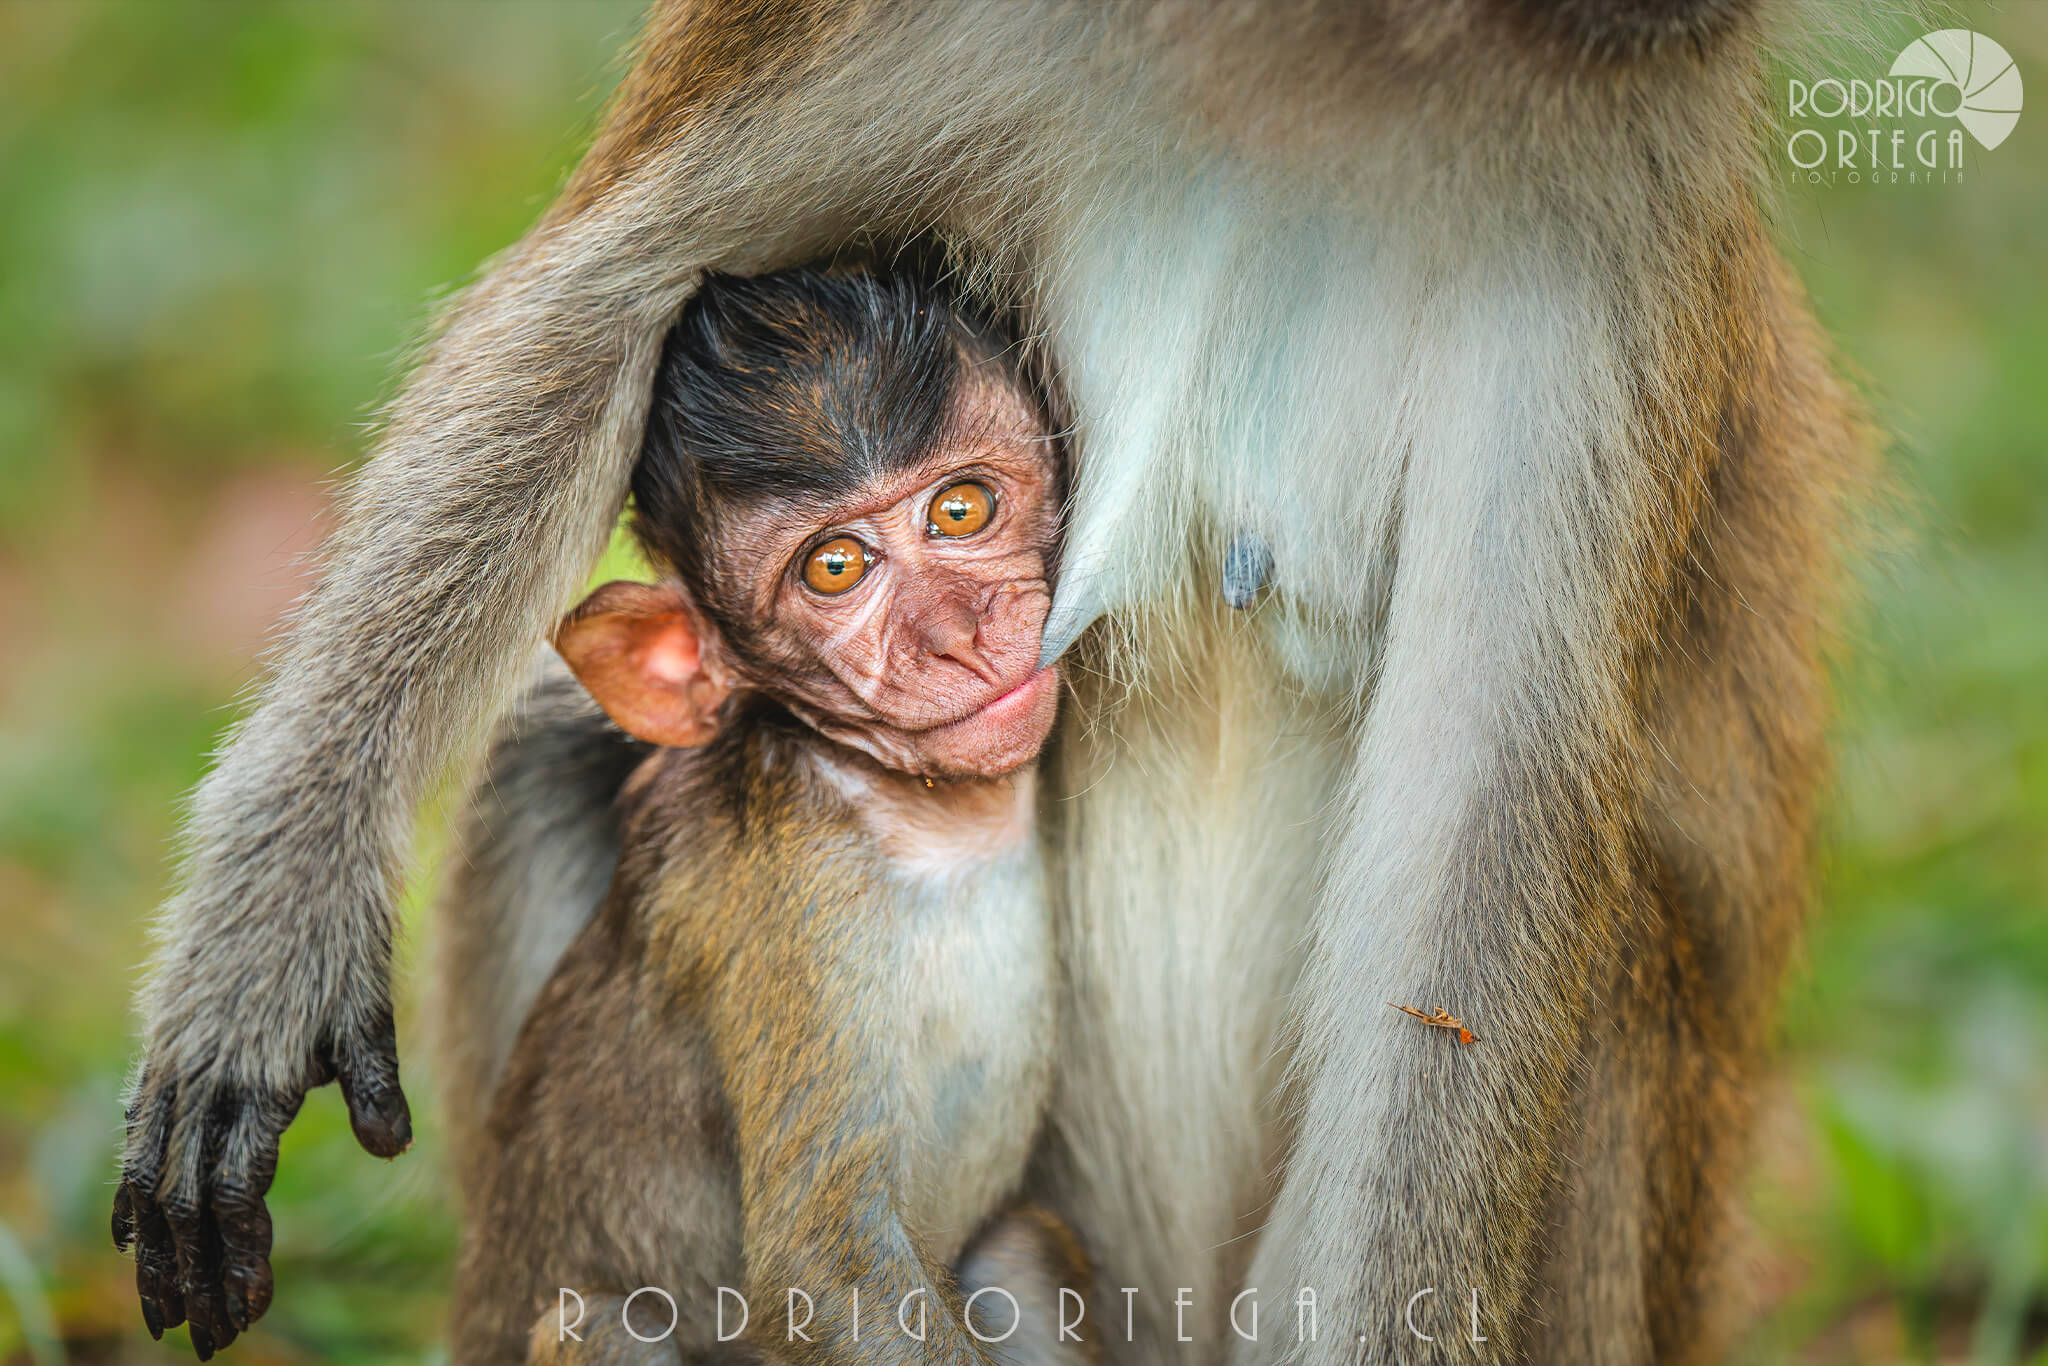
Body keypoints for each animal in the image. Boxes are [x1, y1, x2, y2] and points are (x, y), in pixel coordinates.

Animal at [443, 266, 1088, 1366]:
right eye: (835, 569)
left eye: (960, 509)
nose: (956, 635)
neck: (909, 816)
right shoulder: (796, 901)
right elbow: (825, 1274)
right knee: (602, 1324)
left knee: (1017, 1250)